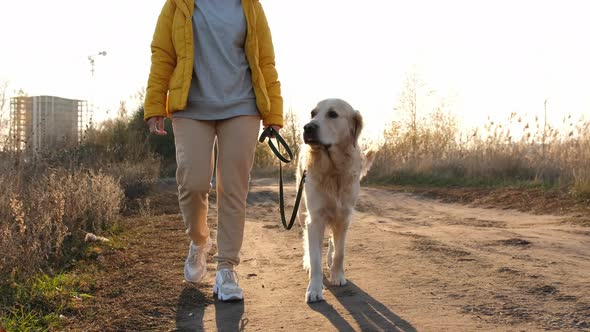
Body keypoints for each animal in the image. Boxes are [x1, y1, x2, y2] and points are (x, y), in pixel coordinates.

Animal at [298, 97, 376, 302]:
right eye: (313, 113)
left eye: (332, 114)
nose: (307, 127)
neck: (333, 171)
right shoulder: (315, 218)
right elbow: (315, 256)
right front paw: (314, 289)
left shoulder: (344, 217)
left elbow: (340, 252)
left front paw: (337, 275)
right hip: (302, 214)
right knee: (309, 240)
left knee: (332, 241)